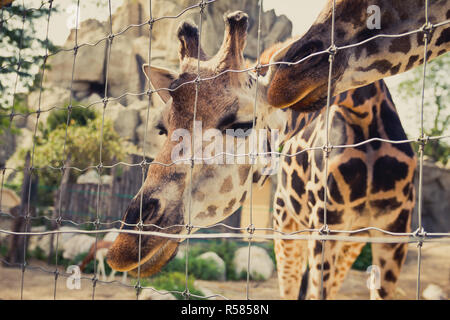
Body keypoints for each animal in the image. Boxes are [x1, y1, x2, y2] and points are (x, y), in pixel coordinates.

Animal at [107, 11, 416, 298]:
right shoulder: (324, 227)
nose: (126, 244)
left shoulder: (392, 233)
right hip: (290, 228)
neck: (364, 118)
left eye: (243, 125)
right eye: (162, 129)